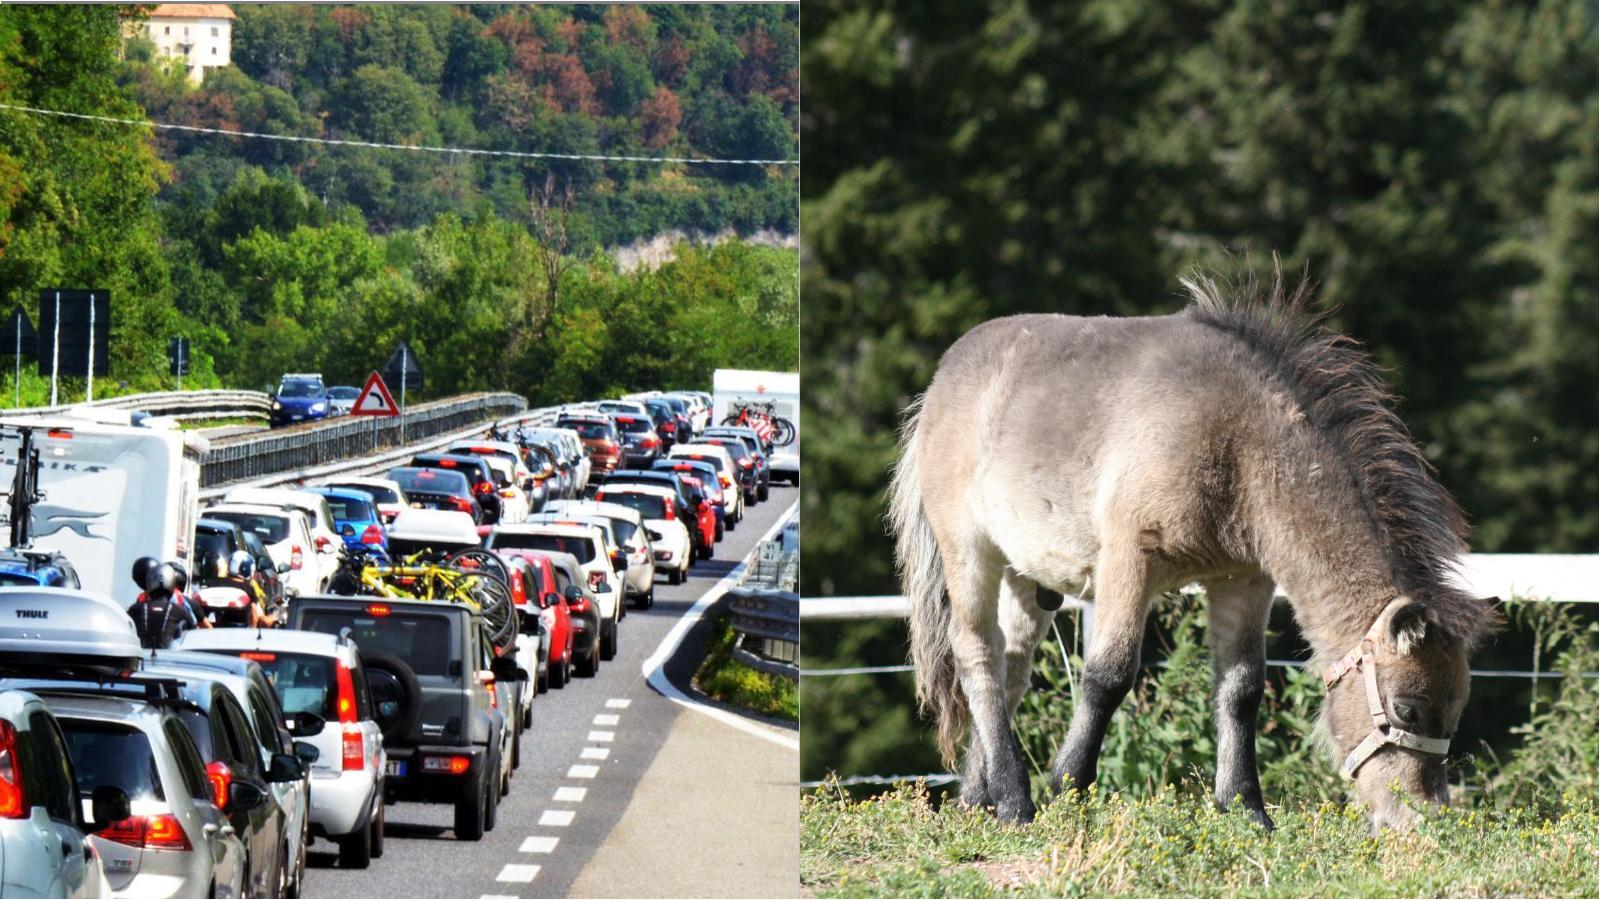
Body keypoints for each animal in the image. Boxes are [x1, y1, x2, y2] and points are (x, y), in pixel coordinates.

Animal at [889, 265, 1497, 826]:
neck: (1235, 442)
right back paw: (1016, 801)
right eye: (1407, 709)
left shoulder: (1243, 580)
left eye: (1454, 714)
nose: (1421, 816)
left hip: (1025, 576)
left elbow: (1241, 687)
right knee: (977, 652)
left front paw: (1245, 809)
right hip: (969, 553)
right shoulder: (1129, 562)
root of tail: (940, 383)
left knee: (1011, 667)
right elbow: (1109, 675)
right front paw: (1068, 787)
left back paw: (978, 799)